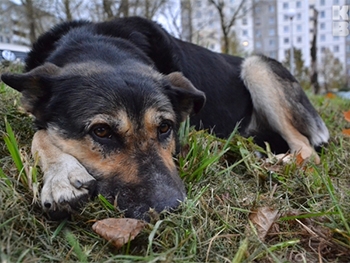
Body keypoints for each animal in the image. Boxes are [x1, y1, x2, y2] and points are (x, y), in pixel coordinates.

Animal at [0, 16, 330, 221]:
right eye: (102, 131)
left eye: (165, 127)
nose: (170, 209)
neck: (101, 43)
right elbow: (40, 132)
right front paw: (63, 175)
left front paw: (62, 176)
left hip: (257, 66)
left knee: (306, 147)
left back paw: (277, 161)